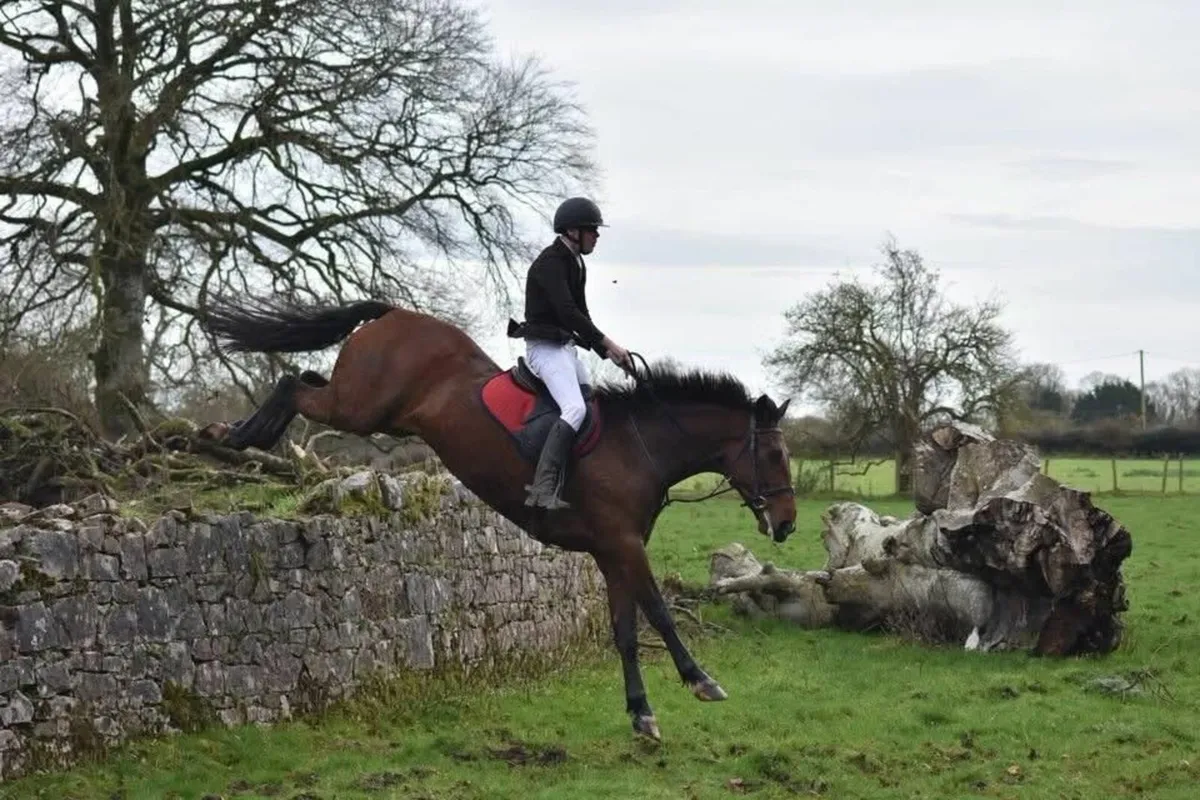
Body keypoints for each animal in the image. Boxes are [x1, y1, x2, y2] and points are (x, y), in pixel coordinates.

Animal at [199, 294, 797, 741]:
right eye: (772, 455)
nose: (787, 524)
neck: (638, 446)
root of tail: (393, 313)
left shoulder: (611, 552)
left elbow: (625, 630)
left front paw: (641, 714)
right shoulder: (624, 545)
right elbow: (660, 614)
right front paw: (701, 681)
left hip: (381, 416)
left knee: (302, 376)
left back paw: (239, 433)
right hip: (360, 407)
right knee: (293, 385)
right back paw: (236, 434)